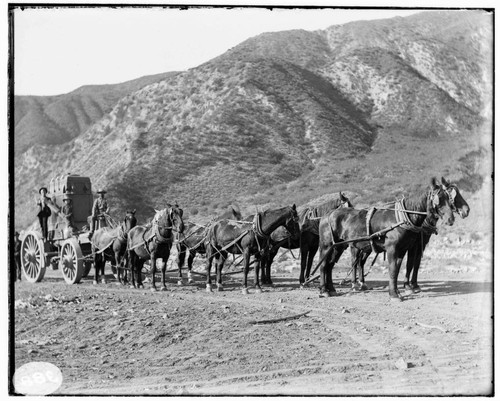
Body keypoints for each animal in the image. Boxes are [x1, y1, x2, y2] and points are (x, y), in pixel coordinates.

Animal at [318, 177, 456, 298]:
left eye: (449, 198)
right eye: (439, 199)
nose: (451, 219)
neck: (402, 218)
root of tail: (326, 215)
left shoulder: (402, 250)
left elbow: (397, 270)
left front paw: (397, 292)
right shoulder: (392, 249)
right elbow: (393, 269)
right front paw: (394, 294)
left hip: (339, 247)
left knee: (330, 265)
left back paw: (332, 289)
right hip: (327, 246)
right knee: (324, 265)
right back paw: (324, 290)